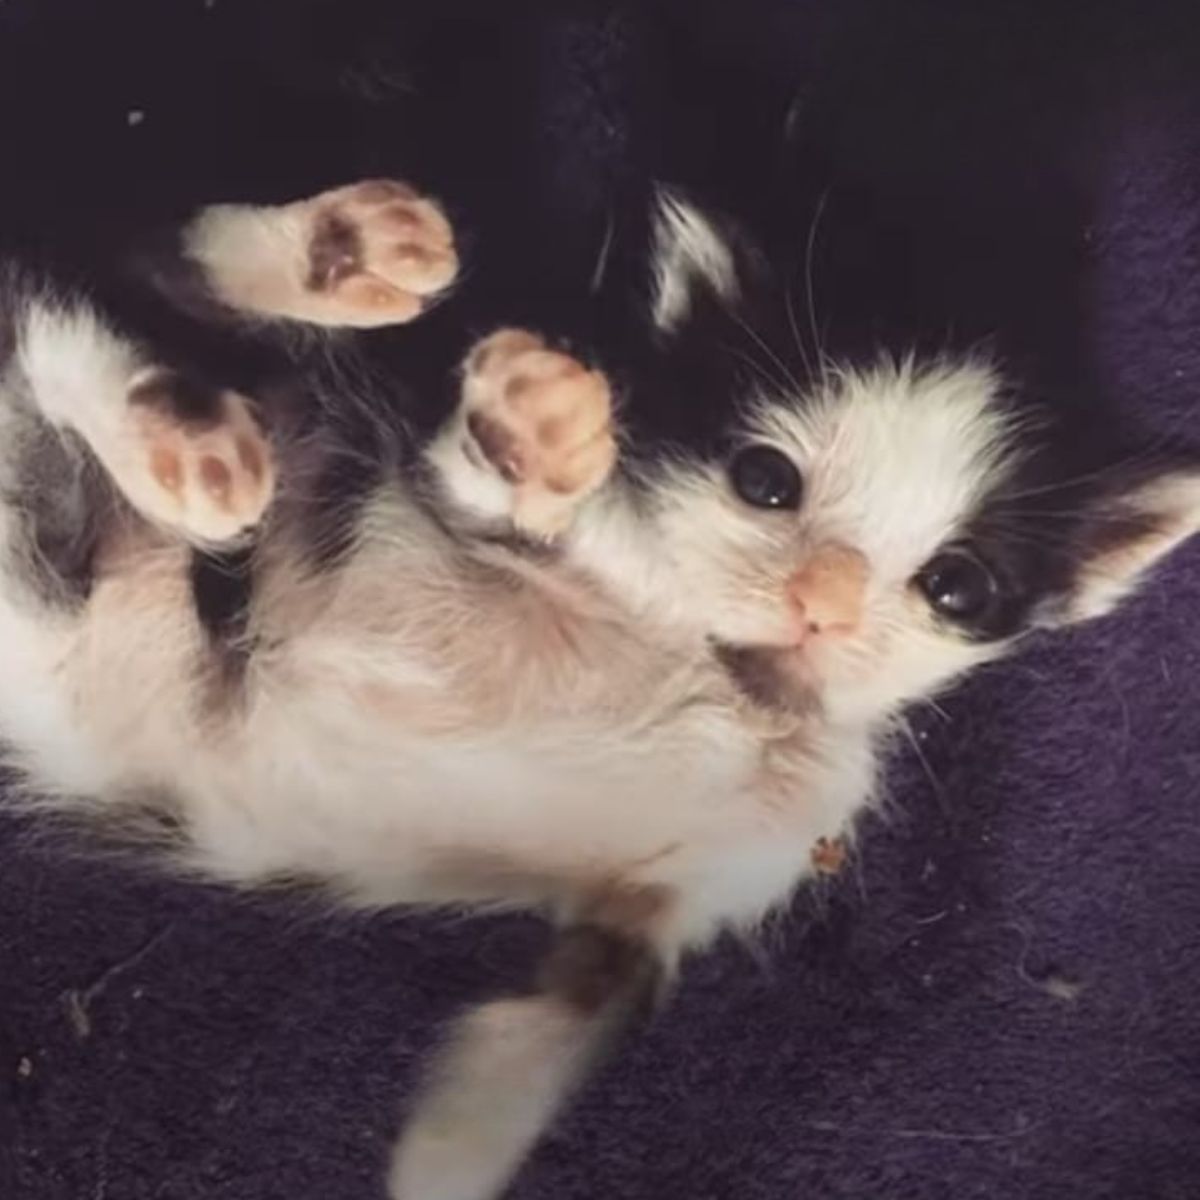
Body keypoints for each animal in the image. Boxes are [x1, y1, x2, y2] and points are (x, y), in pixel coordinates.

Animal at [2, 180, 1200, 1200]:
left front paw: (458, 1143)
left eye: (955, 585)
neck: (732, 681)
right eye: (765, 481)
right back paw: (245, 361)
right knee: (98, 297)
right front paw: (530, 430)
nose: (824, 599)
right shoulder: (486, 522)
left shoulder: (695, 884)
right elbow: (489, 489)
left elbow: (592, 993)